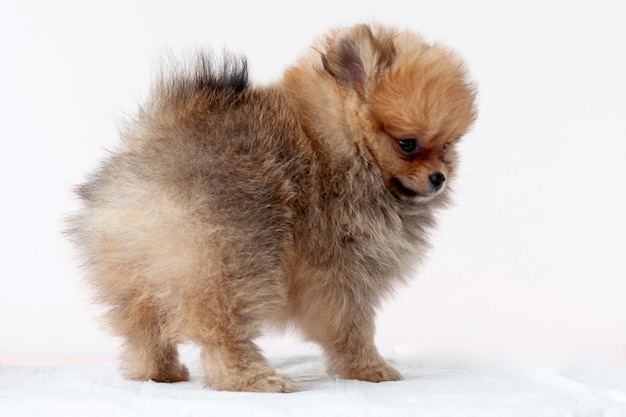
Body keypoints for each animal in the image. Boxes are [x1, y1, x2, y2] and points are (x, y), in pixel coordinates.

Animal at [67, 24, 472, 392]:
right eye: (407, 144)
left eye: (447, 147)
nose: (439, 177)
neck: (341, 143)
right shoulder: (343, 271)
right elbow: (351, 326)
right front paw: (369, 368)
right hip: (230, 259)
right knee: (223, 333)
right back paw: (254, 379)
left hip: (136, 272)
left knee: (145, 328)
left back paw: (159, 372)